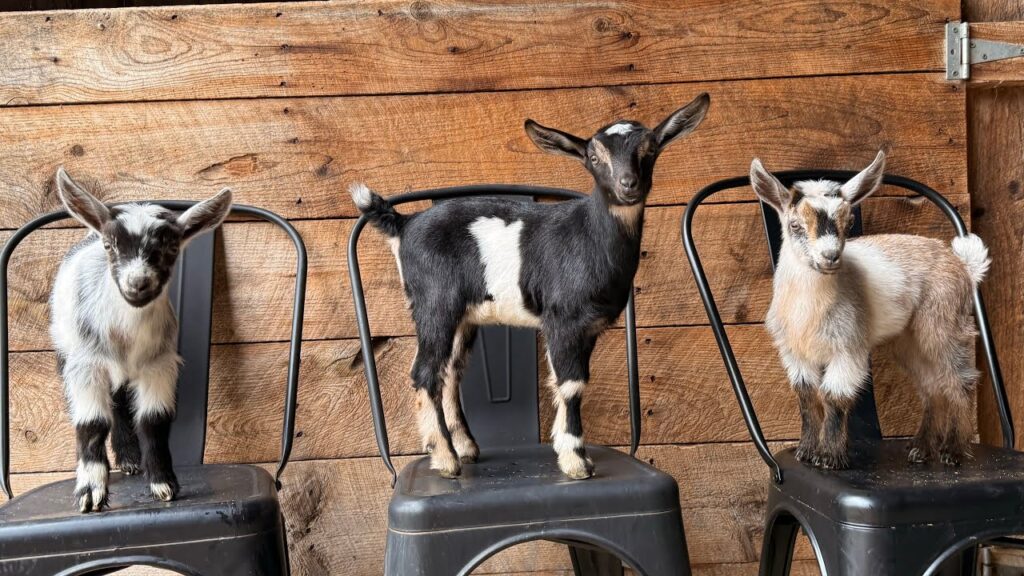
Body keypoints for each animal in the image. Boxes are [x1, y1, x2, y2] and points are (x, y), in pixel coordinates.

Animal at [50, 168, 232, 512]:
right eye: (110, 245)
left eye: (172, 248)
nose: (138, 283)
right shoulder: (86, 364)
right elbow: (91, 423)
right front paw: (90, 491)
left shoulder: (159, 364)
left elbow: (154, 421)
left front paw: (163, 483)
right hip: (65, 344)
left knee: (121, 399)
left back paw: (130, 459)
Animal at [350, 93, 711, 479]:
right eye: (593, 157)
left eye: (651, 149)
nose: (628, 184)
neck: (589, 237)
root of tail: (404, 224)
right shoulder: (562, 320)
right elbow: (571, 384)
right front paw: (576, 461)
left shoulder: (589, 328)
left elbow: (576, 380)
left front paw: (570, 452)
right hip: (435, 304)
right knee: (425, 373)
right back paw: (445, 459)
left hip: (463, 317)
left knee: (449, 374)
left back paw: (465, 448)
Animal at [750, 151, 990, 469]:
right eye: (795, 225)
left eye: (849, 221)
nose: (830, 256)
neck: (809, 310)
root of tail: (963, 265)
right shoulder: (794, 352)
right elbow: (806, 397)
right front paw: (806, 451)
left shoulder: (849, 347)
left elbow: (833, 396)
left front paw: (829, 457)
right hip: (909, 340)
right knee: (933, 386)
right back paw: (921, 448)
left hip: (943, 321)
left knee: (959, 381)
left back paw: (953, 450)